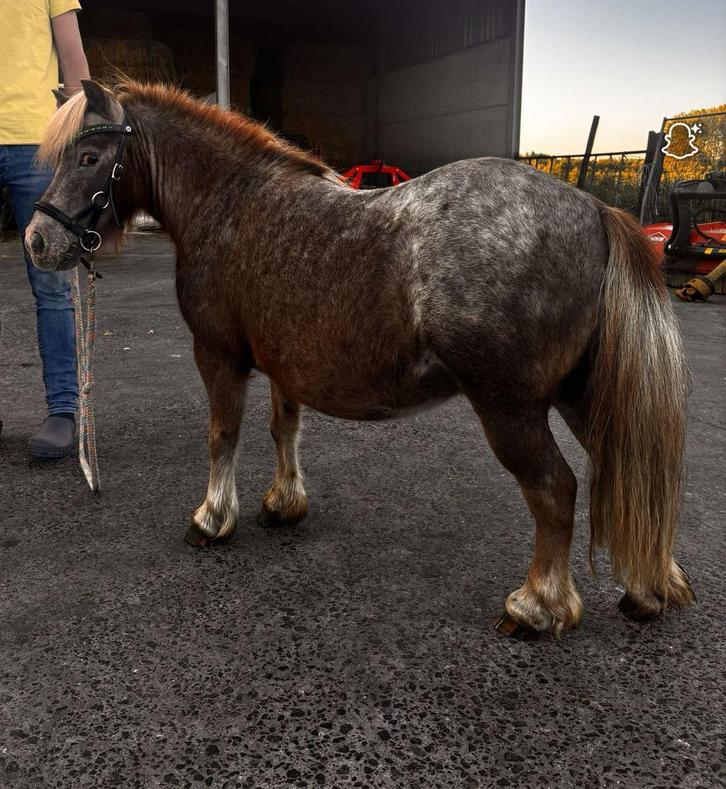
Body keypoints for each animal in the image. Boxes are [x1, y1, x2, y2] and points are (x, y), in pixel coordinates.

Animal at [26, 79, 695, 638]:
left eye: (88, 158)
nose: (37, 240)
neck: (230, 203)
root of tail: (595, 213)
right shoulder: (283, 362)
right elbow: (283, 429)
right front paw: (283, 504)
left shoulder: (218, 354)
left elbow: (223, 434)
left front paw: (213, 519)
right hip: (582, 393)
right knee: (630, 470)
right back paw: (647, 589)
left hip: (511, 406)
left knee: (555, 489)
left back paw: (536, 607)